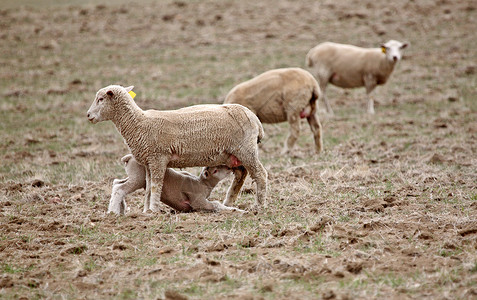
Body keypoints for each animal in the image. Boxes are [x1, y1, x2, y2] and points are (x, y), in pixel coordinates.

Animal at [107, 154, 242, 214]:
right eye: (215, 171)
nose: (229, 168)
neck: (202, 184)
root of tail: (129, 157)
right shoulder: (197, 200)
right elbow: (215, 204)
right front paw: (236, 210)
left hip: (133, 176)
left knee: (116, 183)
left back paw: (120, 209)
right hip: (138, 178)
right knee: (120, 188)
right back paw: (113, 212)